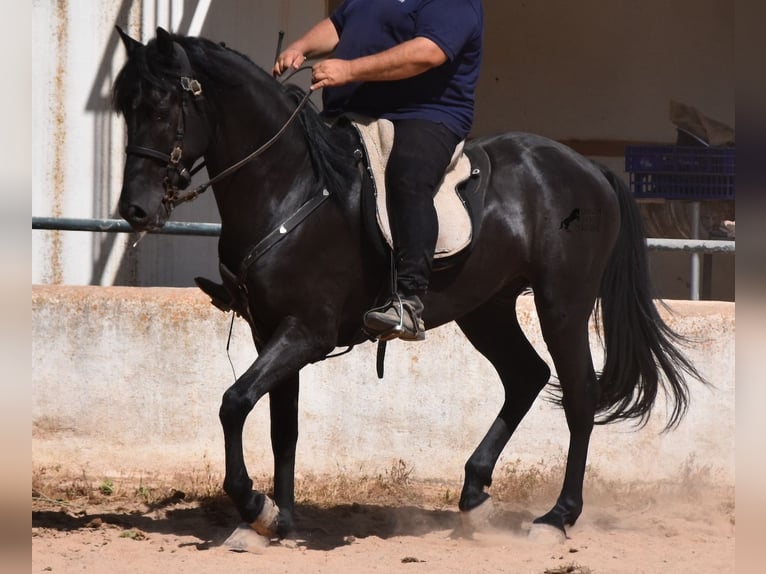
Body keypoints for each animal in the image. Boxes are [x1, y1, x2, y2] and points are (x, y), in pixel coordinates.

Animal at [111, 27, 704, 540]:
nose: (135, 210)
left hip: (563, 305)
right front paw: (279, 520)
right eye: (124, 110)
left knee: (579, 394)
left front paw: (254, 505)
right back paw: (475, 494)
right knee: (526, 376)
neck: (292, 186)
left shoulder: (307, 331)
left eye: (161, 108)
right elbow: (283, 424)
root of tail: (589, 169)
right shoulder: (271, 332)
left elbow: (234, 402)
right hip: (486, 309)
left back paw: (558, 517)